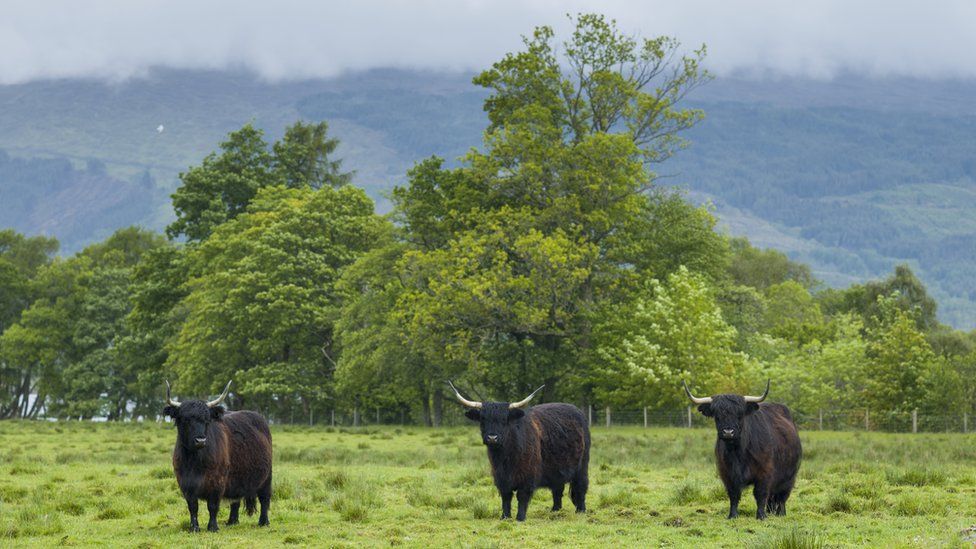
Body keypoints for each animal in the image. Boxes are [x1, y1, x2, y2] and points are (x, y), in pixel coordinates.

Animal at [162, 382, 272, 532]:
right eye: (185, 419)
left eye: (207, 420)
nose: (200, 440)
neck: (194, 461)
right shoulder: (186, 483)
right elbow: (193, 507)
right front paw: (194, 528)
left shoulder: (217, 482)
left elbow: (213, 506)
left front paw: (213, 527)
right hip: (237, 479)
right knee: (235, 501)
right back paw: (232, 521)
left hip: (267, 477)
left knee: (264, 498)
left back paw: (263, 521)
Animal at [448, 378, 592, 520]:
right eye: (483, 419)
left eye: (504, 419)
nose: (492, 438)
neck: (504, 457)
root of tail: (578, 411)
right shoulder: (500, 477)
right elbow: (506, 497)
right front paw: (505, 517)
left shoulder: (527, 475)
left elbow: (522, 496)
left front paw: (520, 517)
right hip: (557, 468)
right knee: (557, 489)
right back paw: (555, 510)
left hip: (582, 465)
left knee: (581, 486)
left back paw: (581, 510)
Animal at [688, 378, 800, 520]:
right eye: (717, 415)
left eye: (740, 415)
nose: (728, 432)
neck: (738, 452)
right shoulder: (727, 473)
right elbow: (733, 495)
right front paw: (732, 515)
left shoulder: (765, 472)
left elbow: (760, 493)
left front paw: (761, 516)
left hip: (789, 476)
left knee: (782, 496)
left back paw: (781, 513)